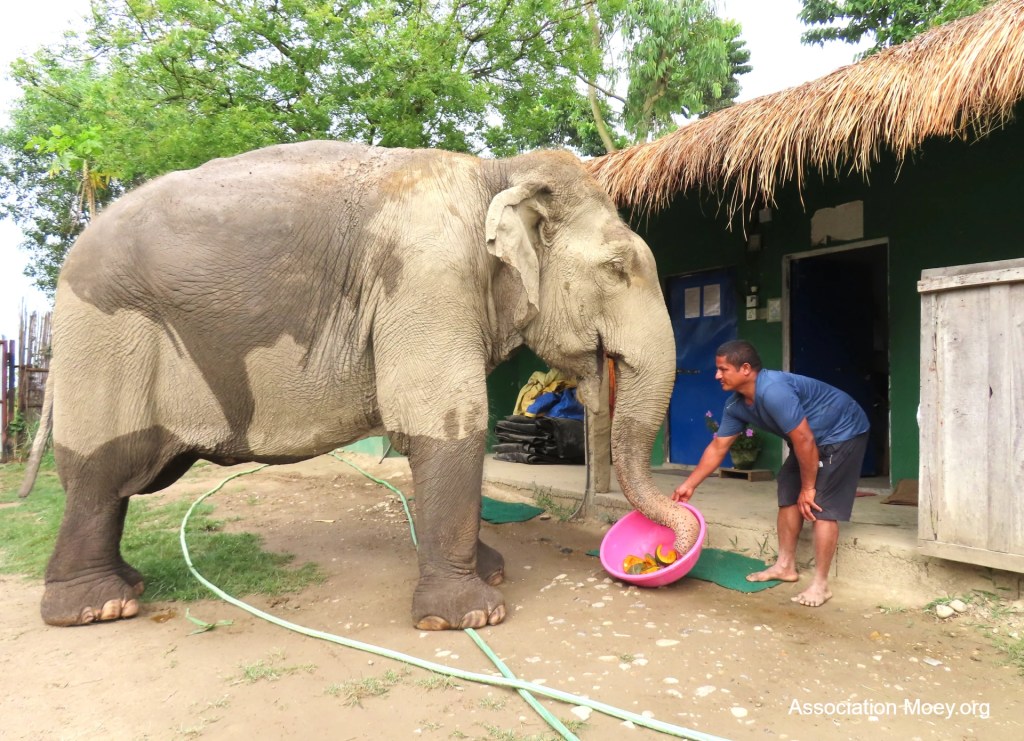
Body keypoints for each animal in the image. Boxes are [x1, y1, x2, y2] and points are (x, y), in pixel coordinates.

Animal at [19, 141, 700, 629]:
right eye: (618, 268)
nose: (671, 541)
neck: (497, 173)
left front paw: (492, 575)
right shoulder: (428, 279)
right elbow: (445, 424)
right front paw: (470, 617)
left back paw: (124, 588)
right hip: (109, 340)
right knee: (103, 474)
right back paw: (97, 608)